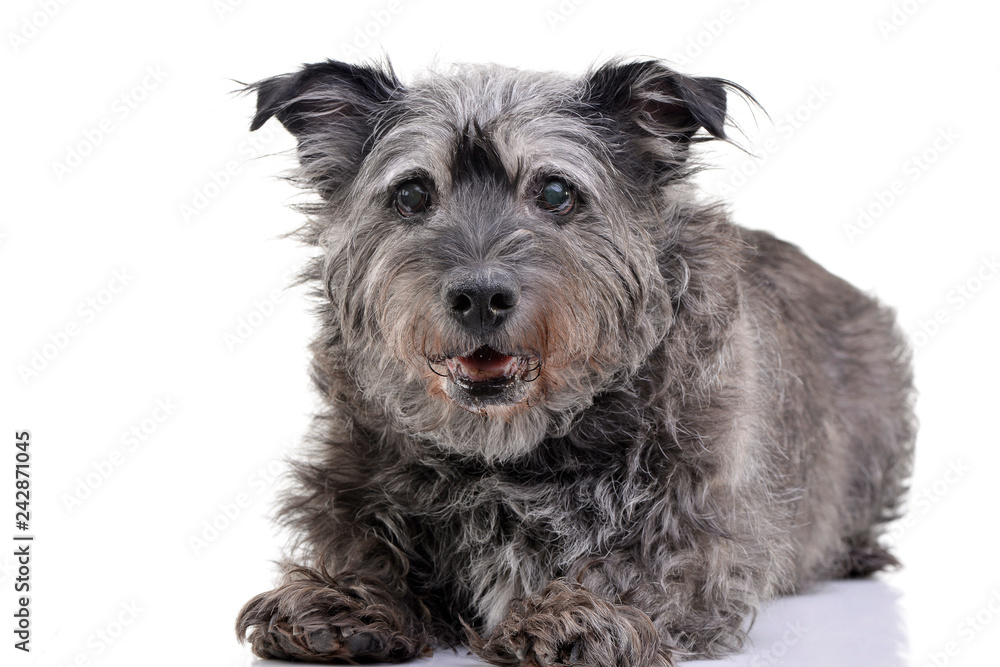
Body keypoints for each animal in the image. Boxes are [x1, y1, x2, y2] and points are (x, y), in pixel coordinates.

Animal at [234, 58, 916, 667]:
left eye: (556, 192)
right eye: (412, 193)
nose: (480, 296)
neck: (505, 449)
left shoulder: (706, 529)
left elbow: (645, 565)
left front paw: (582, 614)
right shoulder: (352, 480)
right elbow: (367, 544)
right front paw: (347, 600)